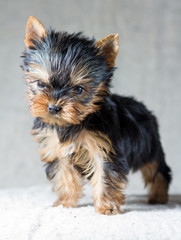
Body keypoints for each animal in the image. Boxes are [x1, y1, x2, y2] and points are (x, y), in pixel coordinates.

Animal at [21, 16, 171, 215]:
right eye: (40, 84)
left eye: (78, 89)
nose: (53, 108)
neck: (73, 123)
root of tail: (144, 108)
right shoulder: (58, 150)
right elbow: (64, 176)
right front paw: (65, 202)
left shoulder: (105, 149)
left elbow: (104, 176)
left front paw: (107, 207)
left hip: (148, 147)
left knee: (157, 168)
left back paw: (159, 196)